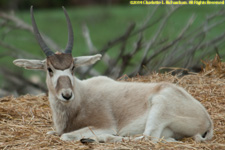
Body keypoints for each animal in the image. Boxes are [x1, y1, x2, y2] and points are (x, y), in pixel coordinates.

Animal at [13, 6, 214, 144]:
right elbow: (52, 133)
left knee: (147, 137)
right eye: (49, 69)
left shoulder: (104, 125)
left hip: (159, 108)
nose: (67, 95)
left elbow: (66, 136)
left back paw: (99, 139)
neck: (81, 96)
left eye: (73, 67)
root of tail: (207, 119)